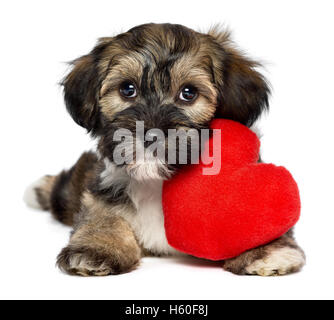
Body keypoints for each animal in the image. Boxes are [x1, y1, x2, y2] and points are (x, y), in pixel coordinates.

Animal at [23, 23, 306, 276]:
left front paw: (265, 250)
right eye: (127, 89)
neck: (155, 182)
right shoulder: (103, 187)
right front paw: (97, 247)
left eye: (188, 93)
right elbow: (103, 216)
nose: (151, 134)